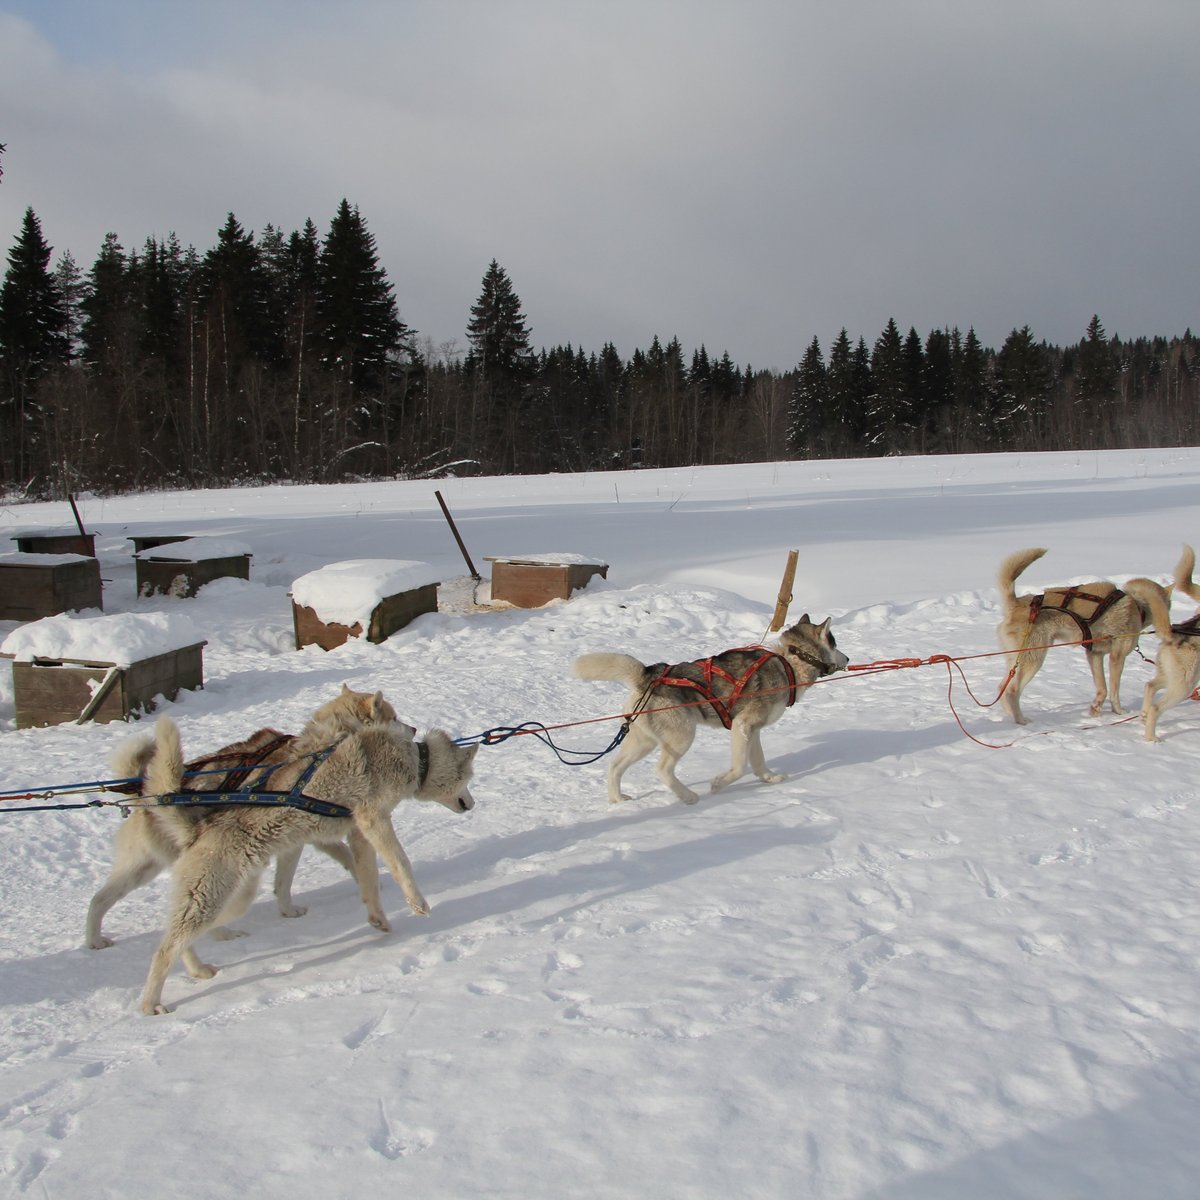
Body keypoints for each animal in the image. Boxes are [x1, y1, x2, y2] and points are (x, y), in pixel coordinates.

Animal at [87, 686, 403, 945]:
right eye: (394, 716)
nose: (411, 728)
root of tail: (146, 792)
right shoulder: (302, 836)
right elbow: (304, 874)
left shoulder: (303, 838)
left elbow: (300, 876)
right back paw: (223, 934)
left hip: (140, 868)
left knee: (98, 900)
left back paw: (95, 941)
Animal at [137, 710, 477, 1012]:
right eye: (469, 778)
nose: (472, 804)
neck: (414, 758)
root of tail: (197, 828)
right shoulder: (374, 820)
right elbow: (401, 864)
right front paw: (418, 904)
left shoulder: (359, 833)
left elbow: (368, 880)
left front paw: (378, 918)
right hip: (211, 900)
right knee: (164, 950)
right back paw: (150, 1004)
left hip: (232, 902)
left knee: (179, 942)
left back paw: (198, 969)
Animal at [568, 619, 844, 806]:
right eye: (834, 642)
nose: (849, 658)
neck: (788, 662)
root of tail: (648, 675)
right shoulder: (742, 726)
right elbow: (739, 767)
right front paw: (718, 784)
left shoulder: (752, 731)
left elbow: (758, 762)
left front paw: (769, 778)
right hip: (682, 736)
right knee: (662, 770)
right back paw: (689, 796)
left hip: (643, 741)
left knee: (615, 766)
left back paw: (617, 799)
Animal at [998, 549, 1166, 724]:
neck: (1138, 606)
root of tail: (1017, 603)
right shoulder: (1117, 657)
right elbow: (1114, 689)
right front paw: (1118, 711)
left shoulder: (1095, 654)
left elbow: (1102, 688)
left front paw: (1096, 709)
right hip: (1034, 659)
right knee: (1011, 691)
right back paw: (1020, 720)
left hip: (1017, 660)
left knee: (1002, 688)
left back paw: (1010, 715)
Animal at [1123, 547, 1200, 739]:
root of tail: (1175, 633)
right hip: (1185, 685)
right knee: (1156, 707)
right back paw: (1152, 739)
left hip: (1173, 676)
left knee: (1150, 686)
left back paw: (1143, 717)